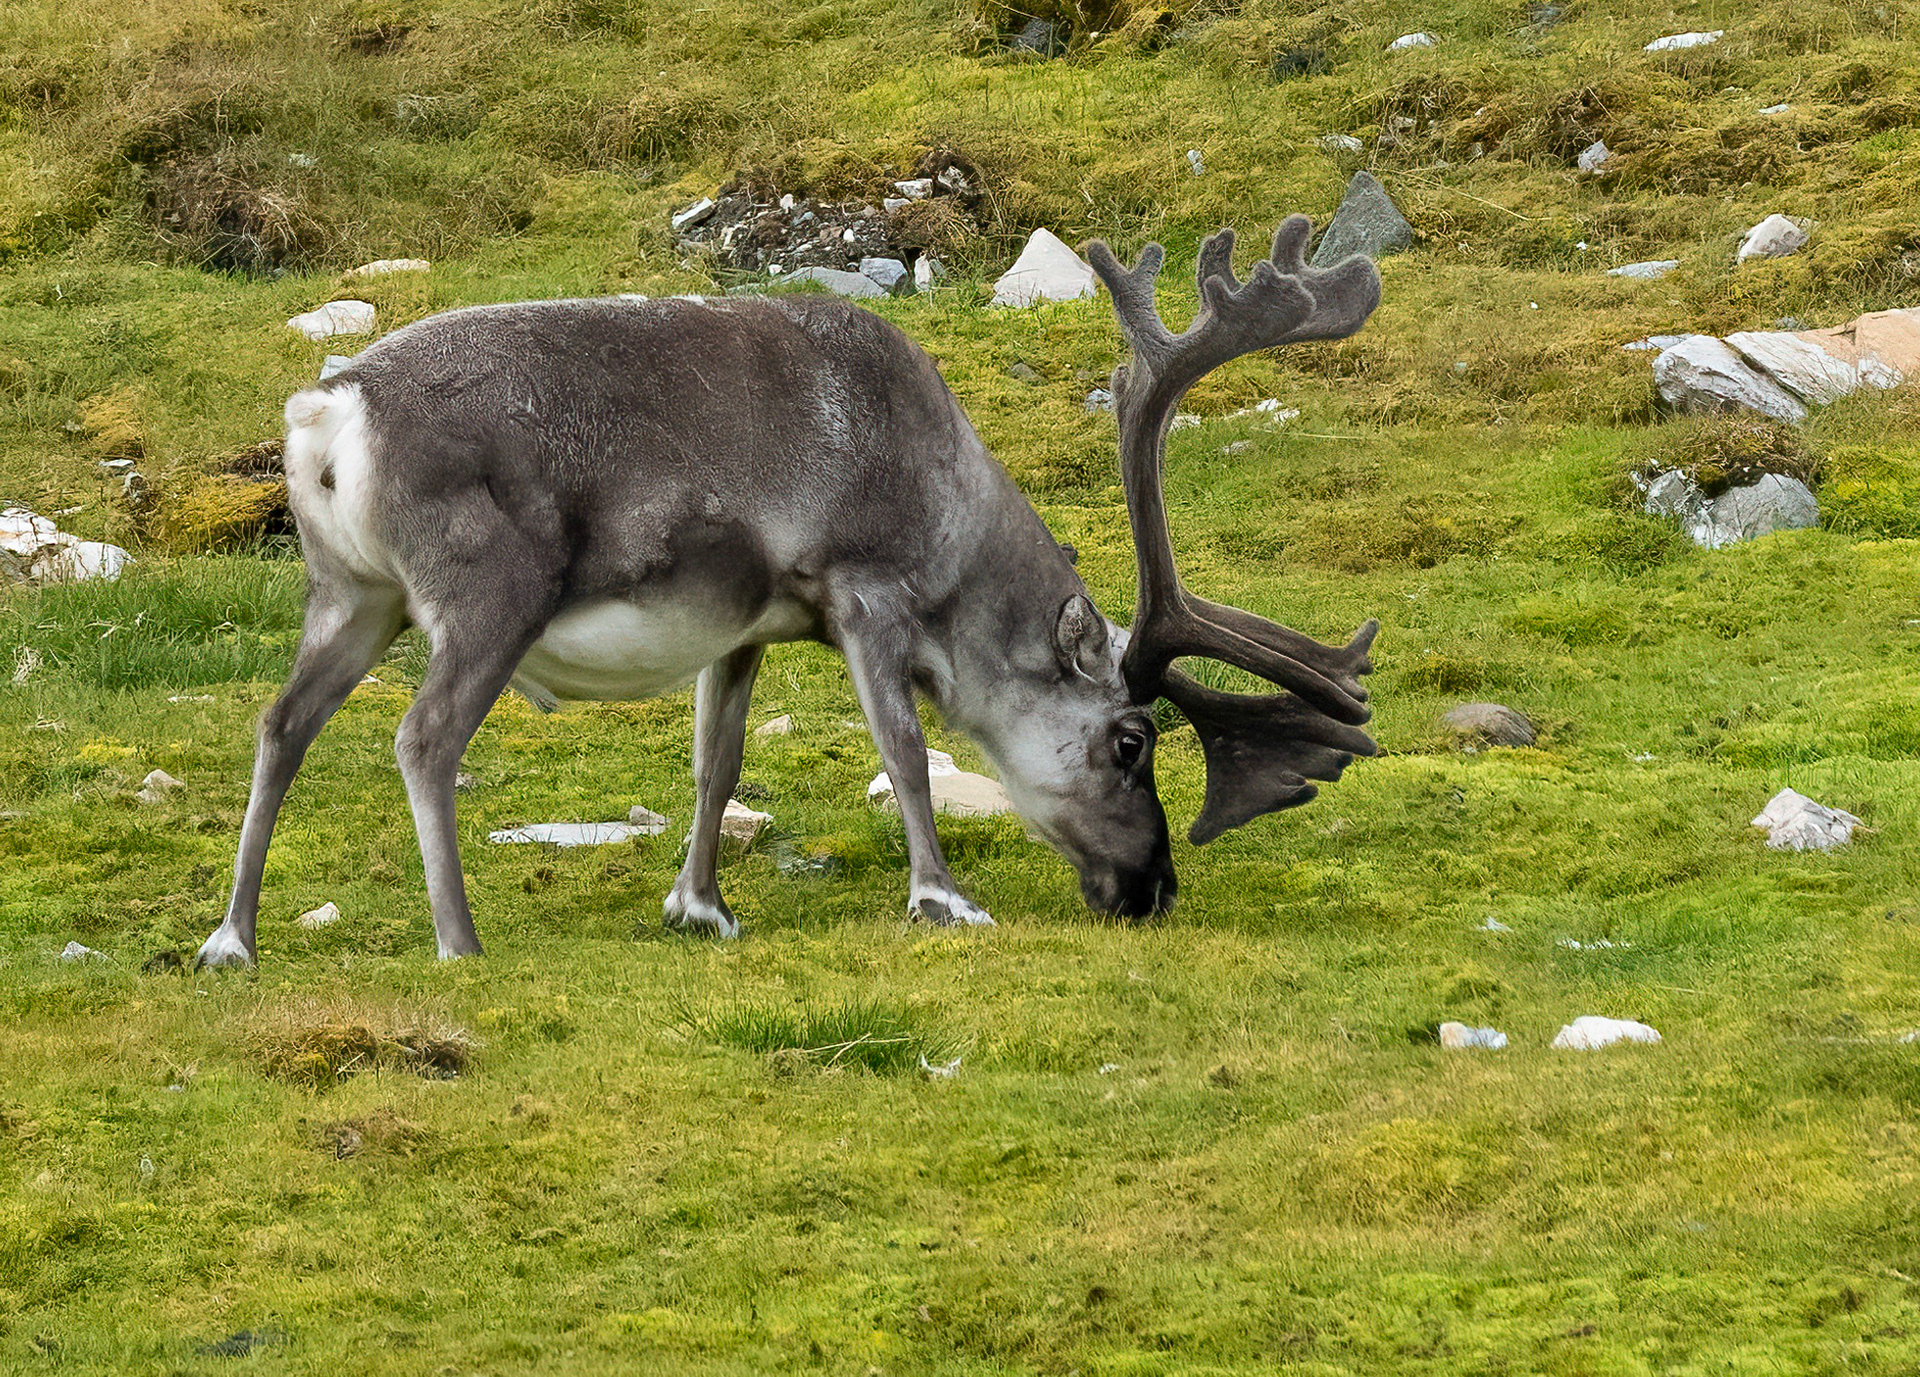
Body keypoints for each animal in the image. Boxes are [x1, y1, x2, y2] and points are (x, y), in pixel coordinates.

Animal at [193, 214, 1382, 968]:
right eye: (1130, 741)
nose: (1153, 888)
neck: (948, 510)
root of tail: (329, 411)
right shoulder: (862, 589)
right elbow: (906, 748)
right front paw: (943, 897)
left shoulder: (743, 626)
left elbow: (717, 760)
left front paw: (701, 906)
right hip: (485, 597)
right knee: (423, 736)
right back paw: (459, 940)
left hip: (352, 596)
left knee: (282, 722)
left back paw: (231, 940)